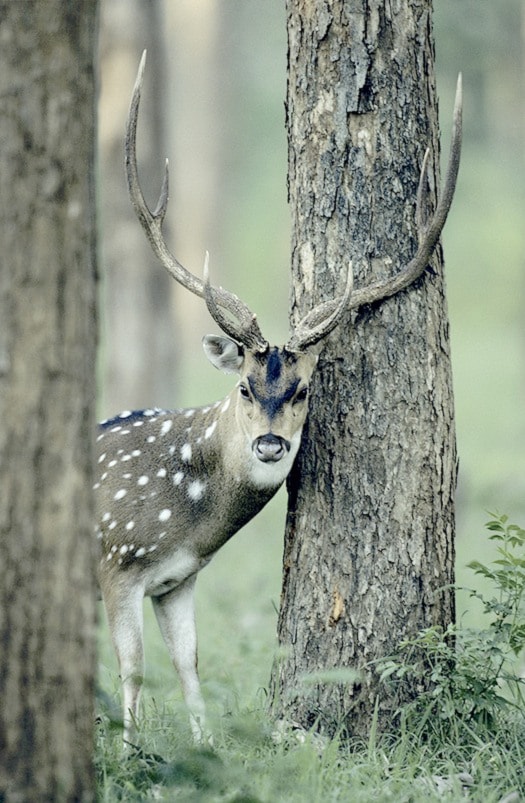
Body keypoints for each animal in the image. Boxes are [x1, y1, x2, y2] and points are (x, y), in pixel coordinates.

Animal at [96, 53, 460, 748]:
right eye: (243, 385)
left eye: (303, 388)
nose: (269, 444)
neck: (188, 521)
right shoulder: (118, 560)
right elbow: (131, 668)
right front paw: (128, 752)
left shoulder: (177, 580)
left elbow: (189, 664)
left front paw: (205, 745)